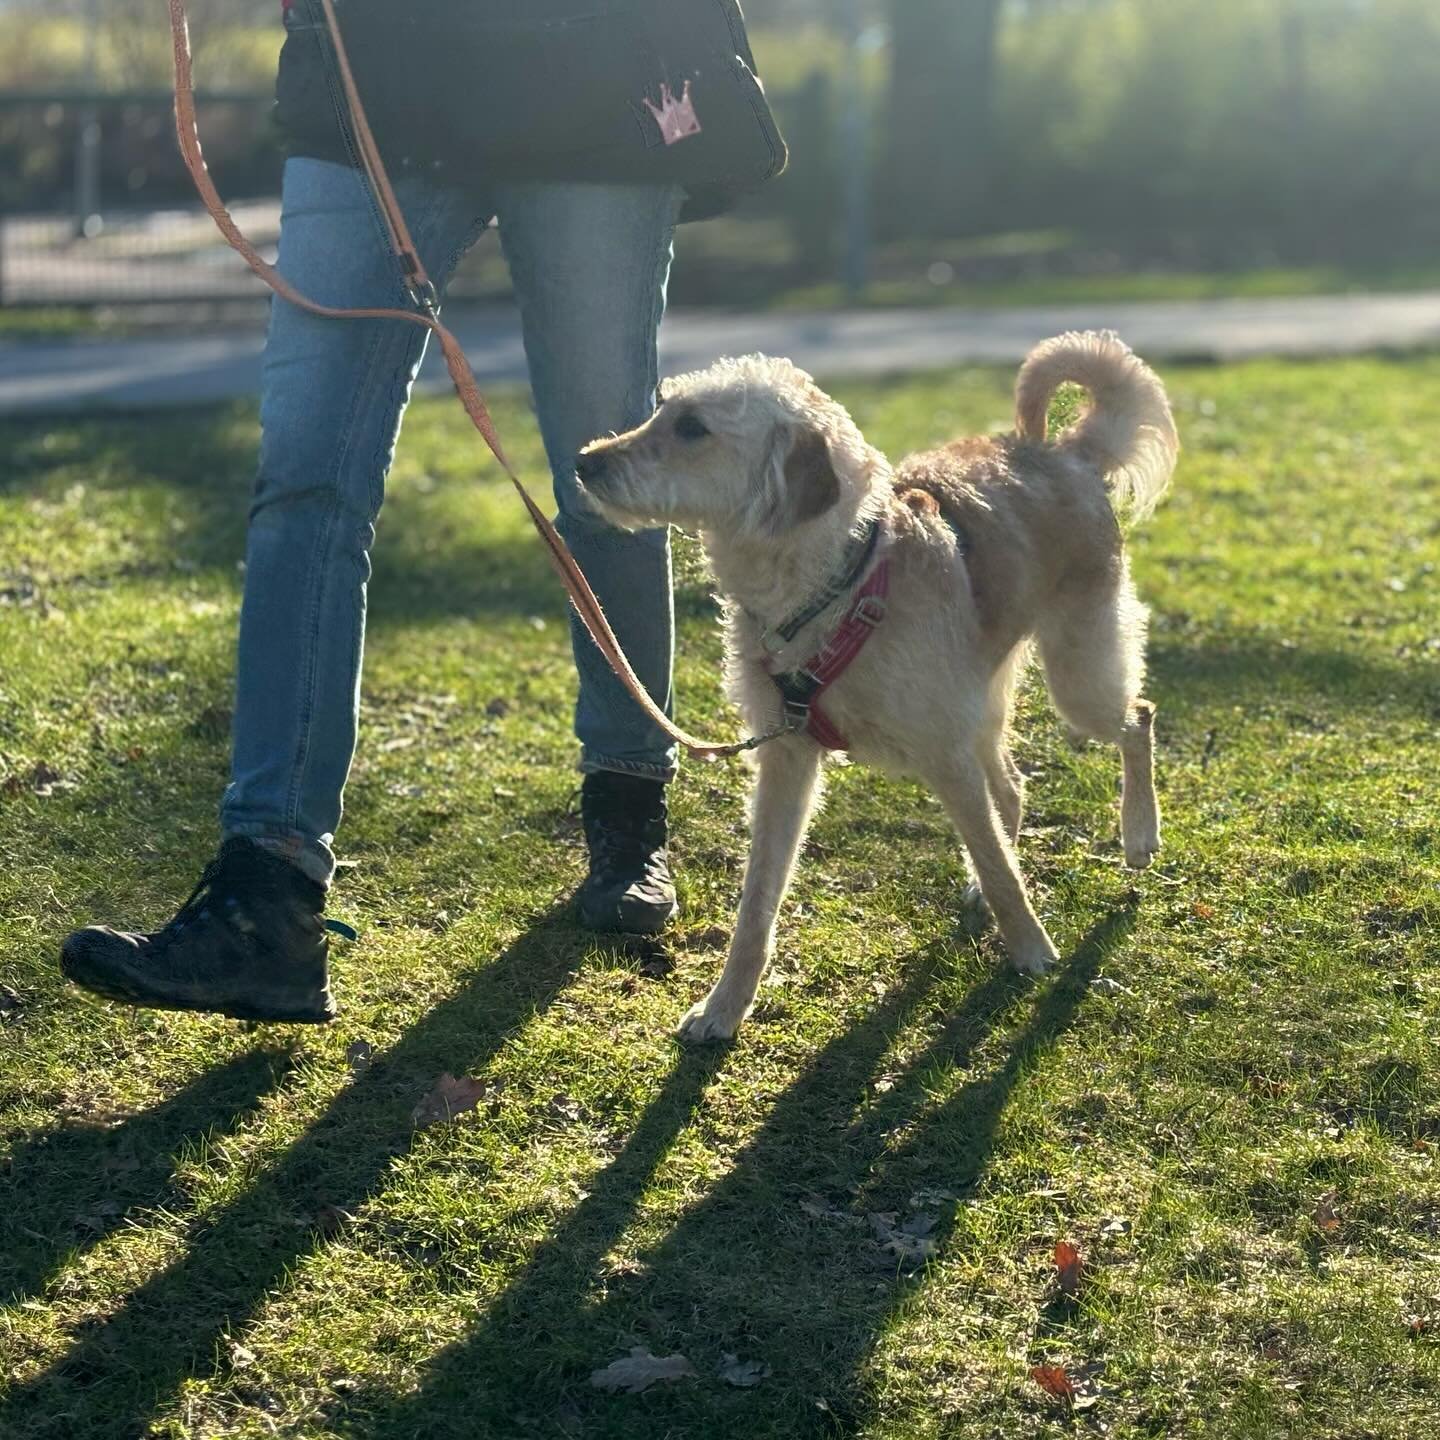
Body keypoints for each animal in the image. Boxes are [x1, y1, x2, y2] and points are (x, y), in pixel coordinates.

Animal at [576, 331, 1180, 1042]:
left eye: (692, 428)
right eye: (660, 412)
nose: (584, 462)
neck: (838, 585)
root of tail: (1065, 452)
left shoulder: (943, 754)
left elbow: (1000, 867)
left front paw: (1031, 949)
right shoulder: (787, 760)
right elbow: (757, 904)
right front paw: (724, 1005)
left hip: (1077, 678)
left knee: (1136, 717)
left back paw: (1139, 834)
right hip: (983, 703)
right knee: (1011, 785)